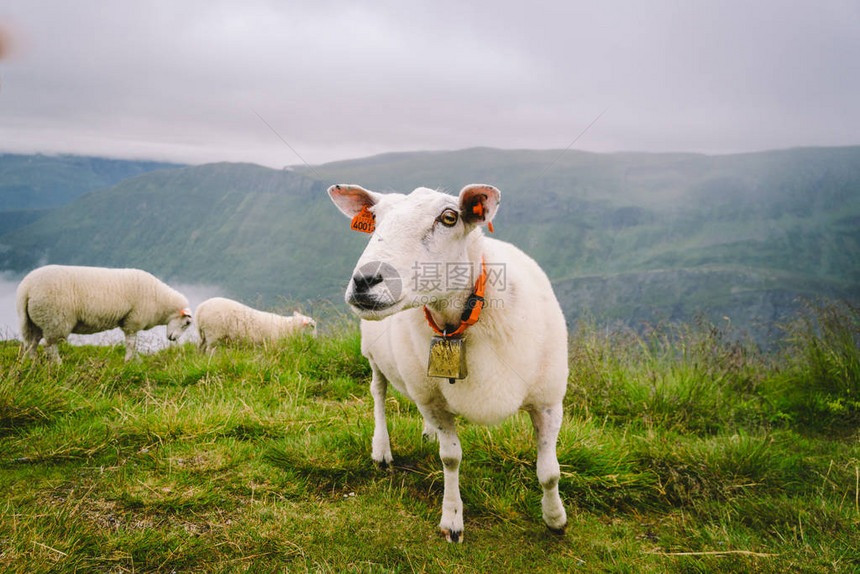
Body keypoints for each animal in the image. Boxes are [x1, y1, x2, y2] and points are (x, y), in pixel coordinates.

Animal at [16, 266, 192, 364]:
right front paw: (131, 361)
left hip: (33, 321)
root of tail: (26, 288)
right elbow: (131, 343)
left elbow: (132, 343)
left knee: (31, 343)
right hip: (55, 319)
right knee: (49, 346)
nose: (173, 339)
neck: (160, 300)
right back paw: (58, 365)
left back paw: (29, 363)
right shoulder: (133, 321)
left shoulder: (128, 321)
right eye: (187, 323)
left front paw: (135, 360)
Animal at [330, 183, 572, 544]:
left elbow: (549, 472)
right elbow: (451, 459)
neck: (458, 319)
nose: (364, 281)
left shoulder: (548, 400)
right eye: (374, 218)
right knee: (378, 393)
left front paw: (555, 518)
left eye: (449, 217)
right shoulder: (434, 402)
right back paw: (382, 449)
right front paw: (452, 520)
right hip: (375, 356)